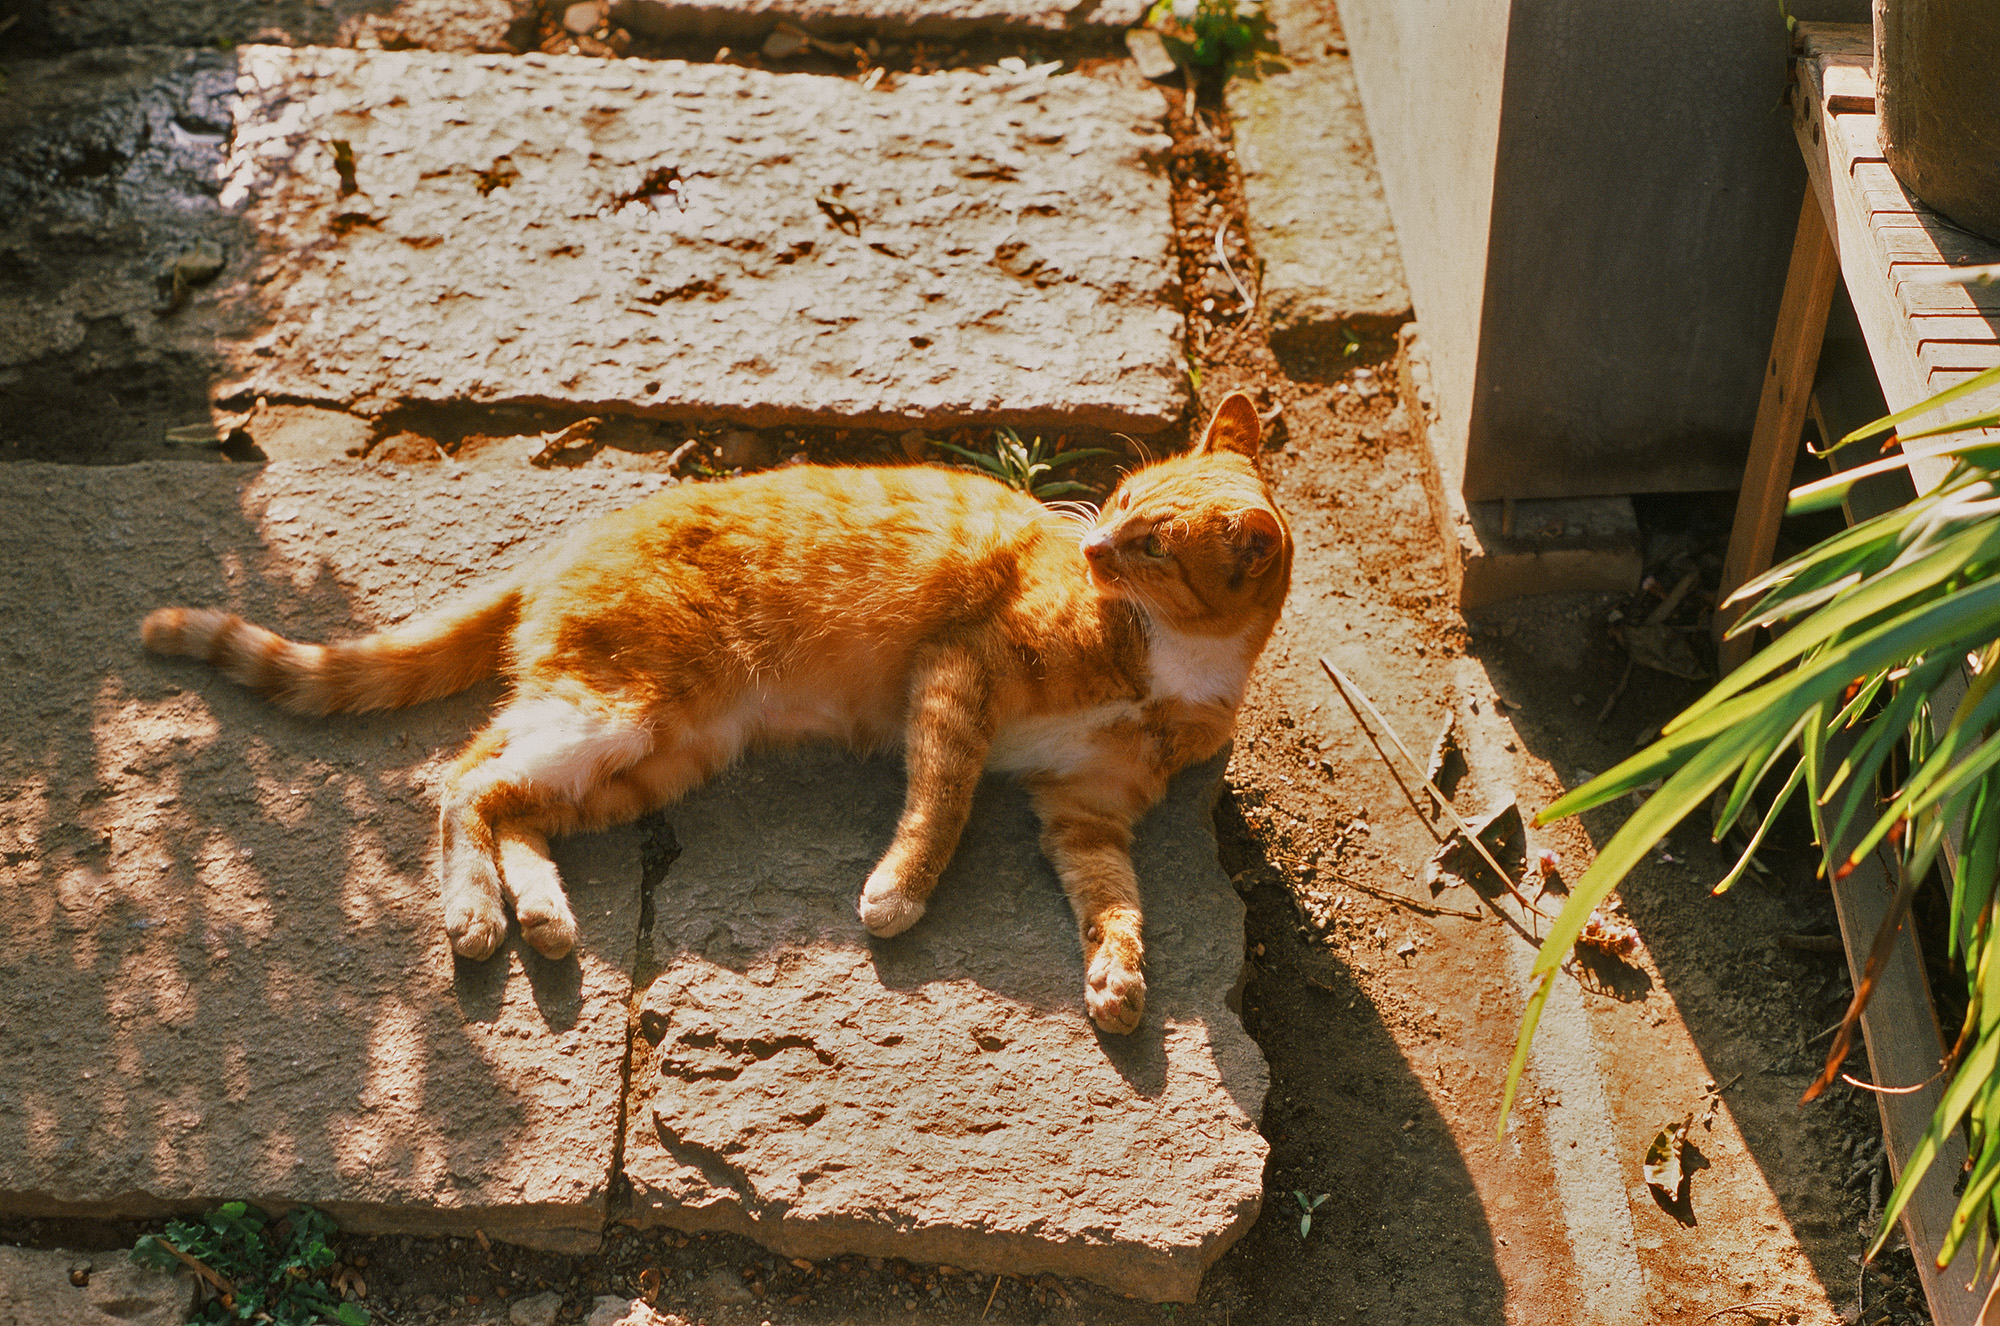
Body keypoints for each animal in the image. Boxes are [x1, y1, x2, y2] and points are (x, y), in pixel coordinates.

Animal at [145, 390, 1296, 1032]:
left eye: (1152, 545)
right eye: (1122, 502)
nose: (1091, 544)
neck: (1168, 660)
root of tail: (565, 543)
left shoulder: (1084, 813)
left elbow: (1116, 902)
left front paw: (1118, 982)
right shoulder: (956, 679)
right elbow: (942, 806)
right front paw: (898, 894)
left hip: (651, 755)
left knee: (511, 800)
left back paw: (544, 916)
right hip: (619, 714)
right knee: (461, 777)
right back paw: (474, 911)